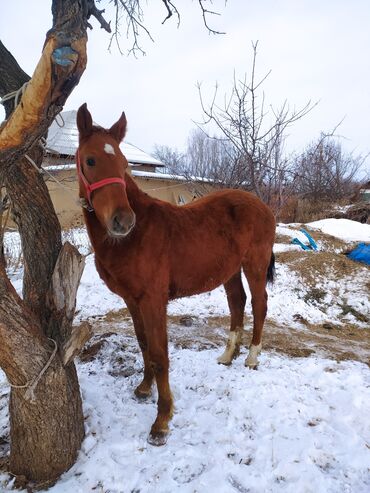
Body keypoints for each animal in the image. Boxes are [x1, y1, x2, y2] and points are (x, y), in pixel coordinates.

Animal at [76, 103, 276, 442]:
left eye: (123, 163)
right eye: (90, 160)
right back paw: (228, 355)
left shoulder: (153, 300)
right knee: (237, 303)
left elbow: (160, 355)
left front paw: (162, 419)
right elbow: (144, 344)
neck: (136, 236)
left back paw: (251, 357)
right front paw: (144, 389)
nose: (122, 221)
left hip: (255, 264)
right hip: (230, 271)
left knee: (259, 304)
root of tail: (262, 205)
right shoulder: (132, 301)